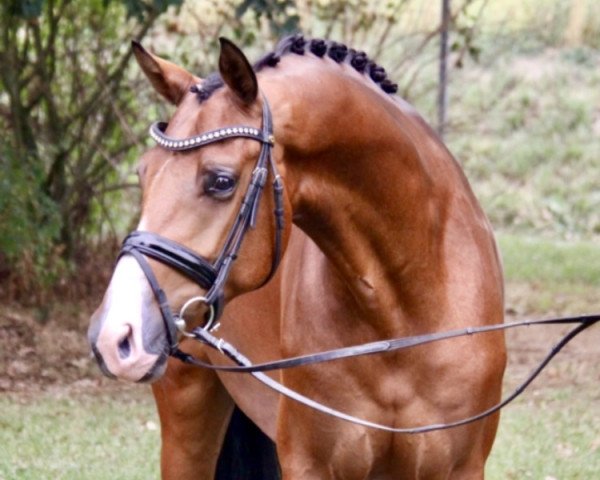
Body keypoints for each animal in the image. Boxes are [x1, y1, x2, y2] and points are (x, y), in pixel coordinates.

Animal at [86, 35, 506, 478]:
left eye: (221, 181)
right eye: (143, 173)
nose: (114, 336)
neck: (402, 312)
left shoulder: (461, 468)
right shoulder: (309, 465)